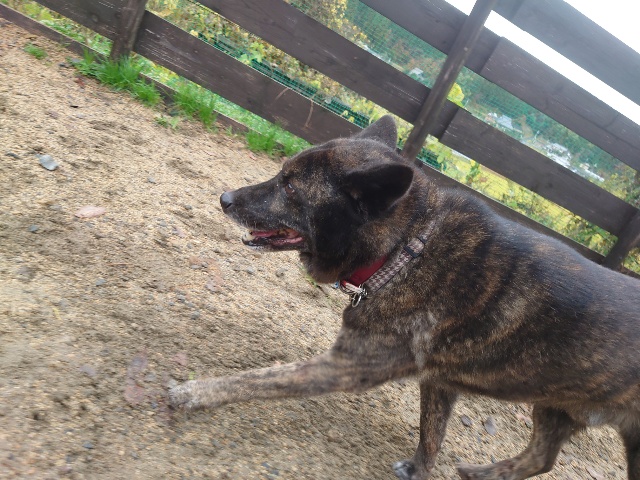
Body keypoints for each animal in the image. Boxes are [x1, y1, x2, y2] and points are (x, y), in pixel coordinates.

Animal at [169, 116, 640, 480]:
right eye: (281, 175)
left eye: (290, 188)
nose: (225, 198)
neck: (406, 247)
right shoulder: (438, 380)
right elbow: (431, 434)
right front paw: (419, 470)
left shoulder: (345, 368)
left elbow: (256, 380)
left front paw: (195, 392)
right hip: (555, 409)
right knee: (541, 458)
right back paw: (484, 473)